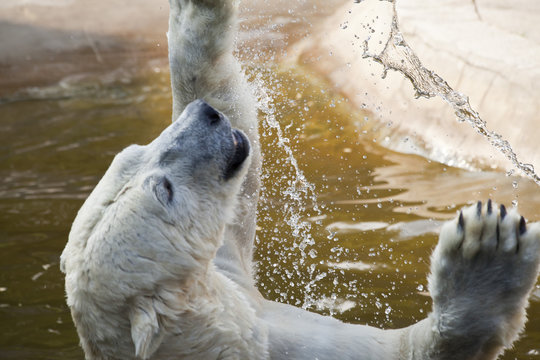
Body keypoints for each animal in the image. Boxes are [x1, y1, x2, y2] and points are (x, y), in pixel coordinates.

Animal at [60, 0, 540, 360]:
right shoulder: (269, 345)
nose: (205, 118)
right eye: (164, 191)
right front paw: (487, 248)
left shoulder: (229, 277)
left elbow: (226, 104)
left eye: (133, 154)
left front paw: (199, 15)